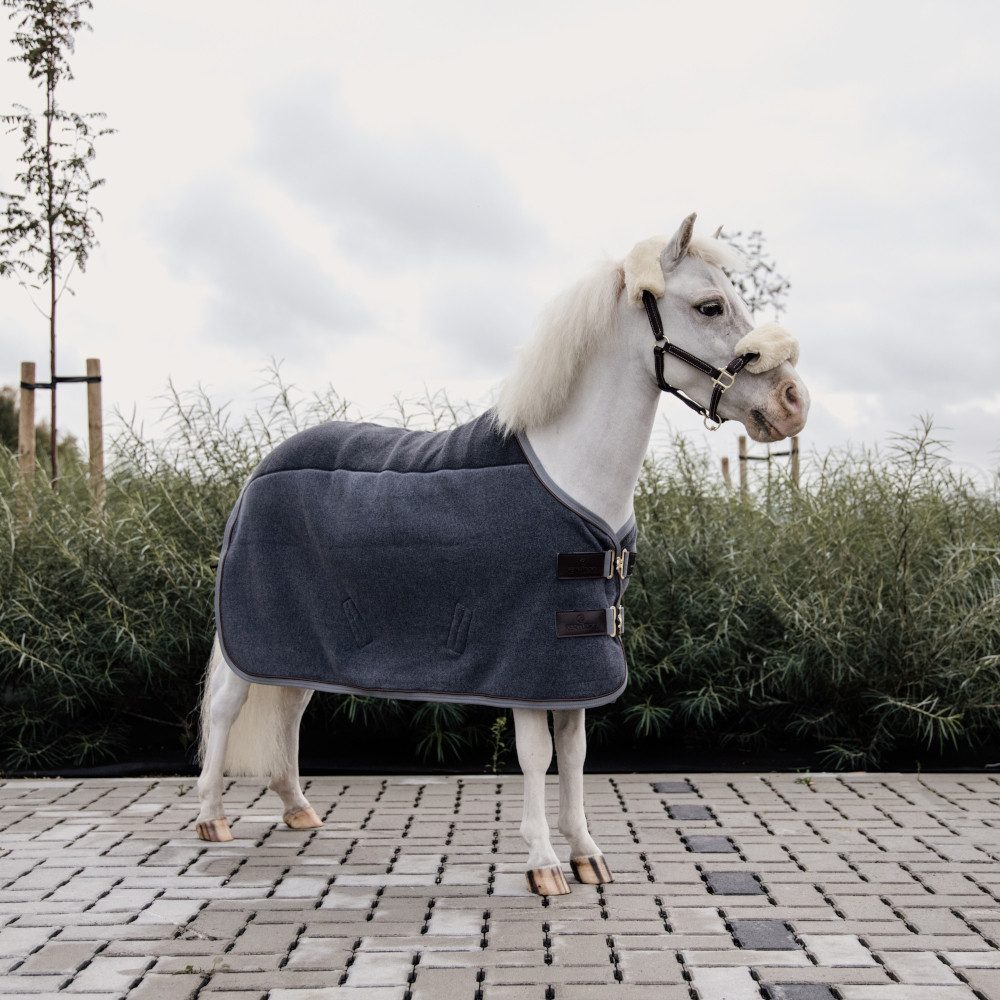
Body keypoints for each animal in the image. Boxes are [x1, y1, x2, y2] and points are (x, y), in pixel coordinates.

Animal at [195, 212, 809, 896]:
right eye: (710, 305)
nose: (793, 402)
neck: (572, 473)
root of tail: (259, 471)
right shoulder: (527, 657)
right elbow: (537, 755)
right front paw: (543, 863)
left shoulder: (574, 653)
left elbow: (576, 752)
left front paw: (586, 853)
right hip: (251, 636)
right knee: (225, 710)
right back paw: (212, 818)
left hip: (302, 643)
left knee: (288, 712)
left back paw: (298, 807)